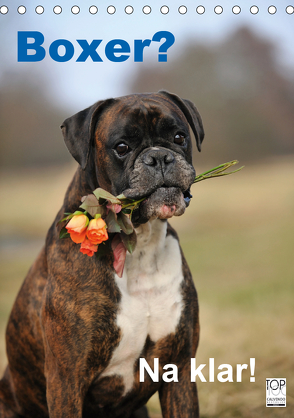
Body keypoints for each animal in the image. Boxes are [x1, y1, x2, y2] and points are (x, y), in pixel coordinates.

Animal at [0, 90, 203, 416]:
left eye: (179, 136)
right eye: (121, 147)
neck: (138, 243)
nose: (159, 156)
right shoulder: (66, 381)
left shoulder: (180, 368)